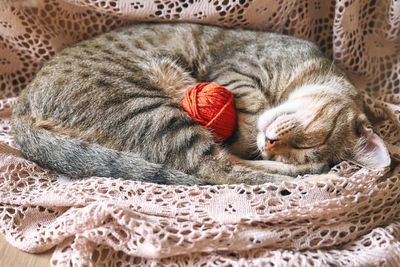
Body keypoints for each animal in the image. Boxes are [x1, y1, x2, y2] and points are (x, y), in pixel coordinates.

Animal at [10, 22, 390, 186]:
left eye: (297, 149)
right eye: (309, 139)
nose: (270, 144)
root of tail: (21, 108)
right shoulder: (237, 70)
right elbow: (249, 112)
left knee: (221, 168)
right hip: (150, 110)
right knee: (217, 169)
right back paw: (312, 176)